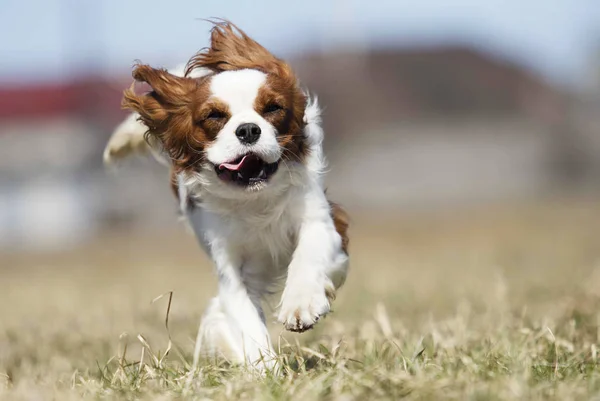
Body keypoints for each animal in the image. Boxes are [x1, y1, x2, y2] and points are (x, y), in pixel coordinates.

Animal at [102, 20, 346, 368]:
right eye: (214, 116)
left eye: (273, 108)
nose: (248, 129)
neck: (253, 200)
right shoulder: (230, 270)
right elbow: (245, 321)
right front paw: (265, 369)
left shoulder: (324, 223)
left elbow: (309, 255)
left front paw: (302, 304)